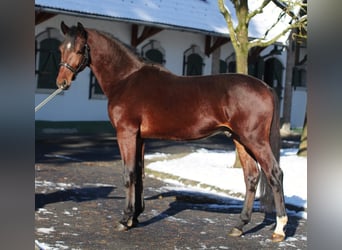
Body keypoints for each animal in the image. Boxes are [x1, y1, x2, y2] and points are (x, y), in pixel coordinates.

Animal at [57, 22, 288, 242]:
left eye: (79, 49)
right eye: (60, 48)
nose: (62, 82)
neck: (126, 79)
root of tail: (266, 87)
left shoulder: (126, 134)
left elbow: (129, 173)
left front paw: (125, 219)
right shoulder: (140, 138)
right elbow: (139, 173)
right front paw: (136, 216)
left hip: (255, 140)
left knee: (274, 174)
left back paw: (279, 229)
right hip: (240, 139)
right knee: (252, 177)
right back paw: (239, 226)